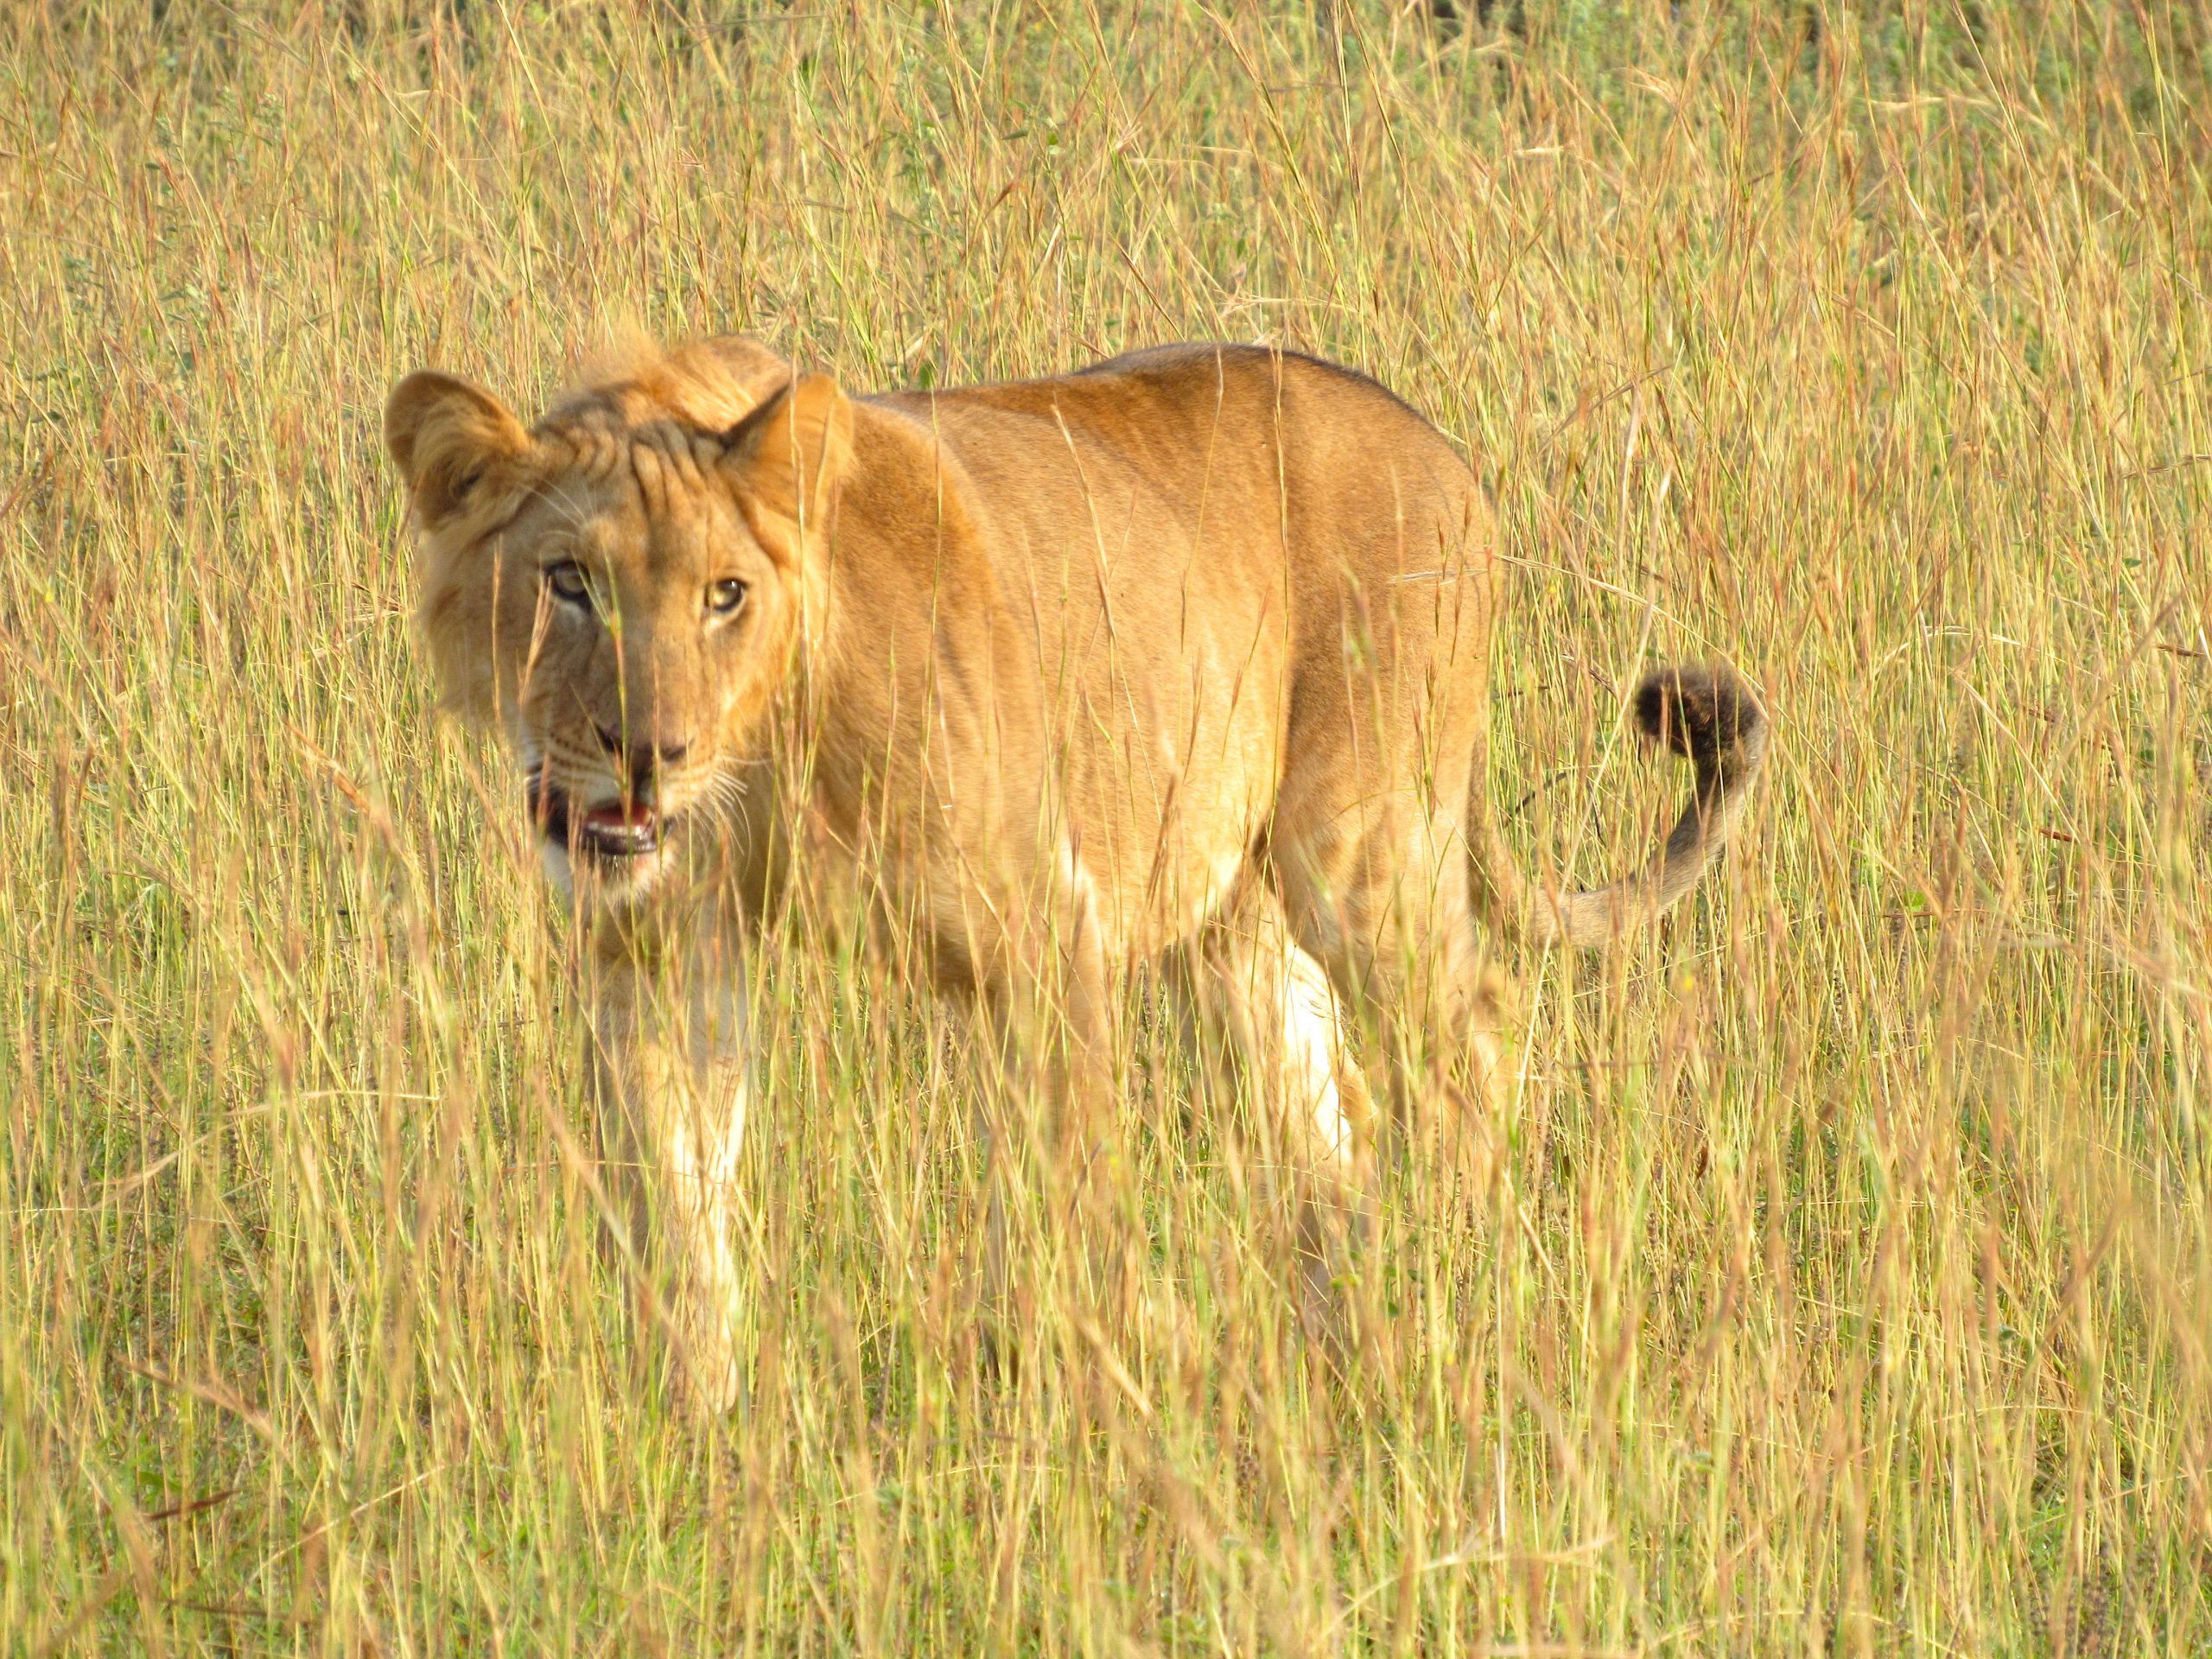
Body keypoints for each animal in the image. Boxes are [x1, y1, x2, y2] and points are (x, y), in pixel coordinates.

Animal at [383, 334, 1767, 1408]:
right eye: (567, 583)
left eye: (725, 594)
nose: (647, 755)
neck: (759, 752)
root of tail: (1438, 442)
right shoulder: (660, 948)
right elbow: (675, 1201)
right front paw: (702, 1421)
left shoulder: (1049, 929)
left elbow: (1072, 1201)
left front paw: (1098, 1404)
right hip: (1235, 920)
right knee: (1330, 1120)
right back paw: (1339, 1333)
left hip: (1357, 846)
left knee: (1473, 1026)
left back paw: (1454, 1280)